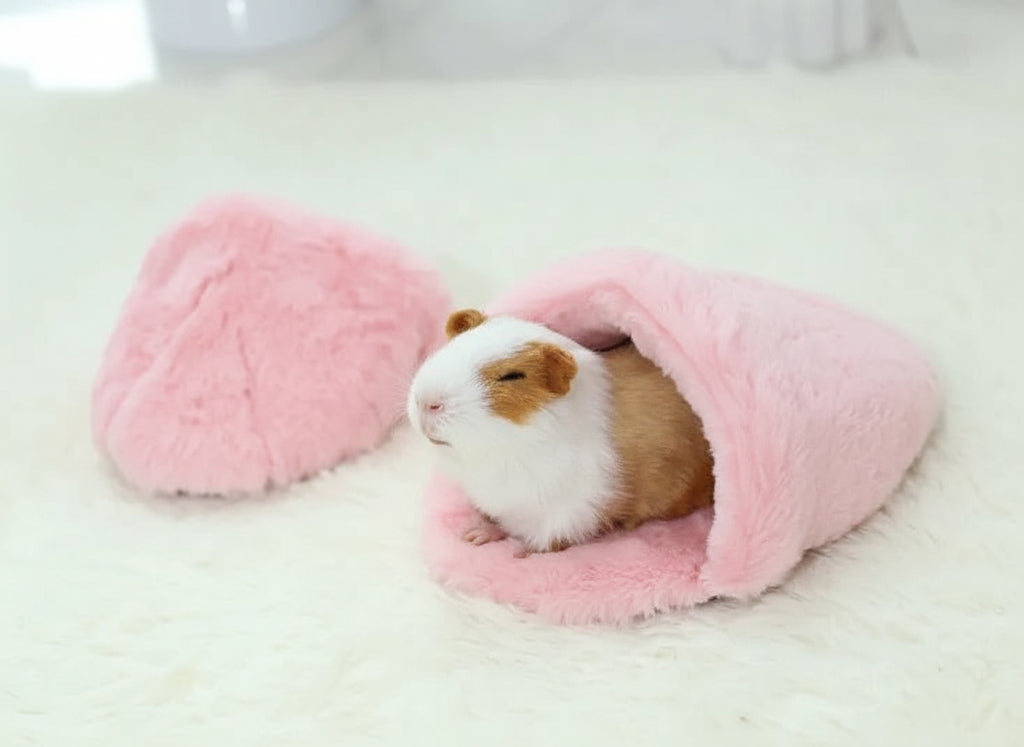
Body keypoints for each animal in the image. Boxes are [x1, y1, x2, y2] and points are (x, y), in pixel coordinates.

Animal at [407, 308, 714, 555]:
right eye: (453, 345)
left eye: (513, 376)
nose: (426, 402)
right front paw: (473, 535)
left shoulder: (568, 512)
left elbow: (544, 541)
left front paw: (513, 550)